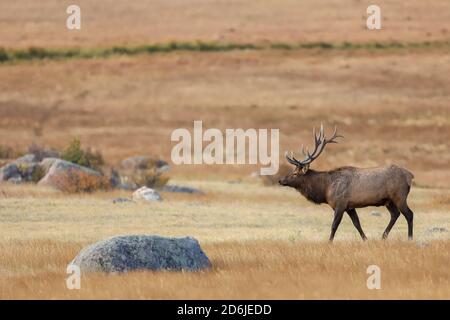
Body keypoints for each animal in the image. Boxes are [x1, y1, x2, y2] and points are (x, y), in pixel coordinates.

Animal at [282, 125, 414, 240]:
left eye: (295, 173)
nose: (281, 180)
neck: (325, 189)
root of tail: (410, 175)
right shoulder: (350, 206)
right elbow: (357, 224)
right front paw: (365, 239)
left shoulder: (340, 204)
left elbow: (334, 226)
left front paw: (329, 242)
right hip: (388, 201)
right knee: (395, 214)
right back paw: (383, 236)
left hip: (399, 196)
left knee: (409, 214)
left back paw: (409, 238)